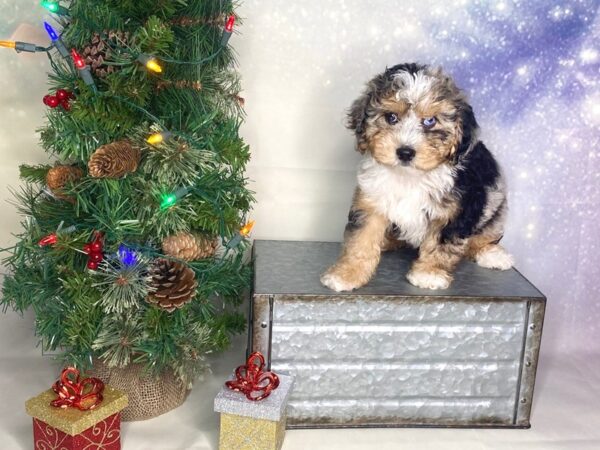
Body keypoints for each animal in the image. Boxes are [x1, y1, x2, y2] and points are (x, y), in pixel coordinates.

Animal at [322, 63, 512, 292]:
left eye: (430, 121)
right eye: (391, 117)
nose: (405, 152)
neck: (411, 176)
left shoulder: (456, 211)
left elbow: (440, 244)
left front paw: (428, 274)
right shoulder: (372, 200)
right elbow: (360, 239)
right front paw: (346, 274)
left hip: (496, 204)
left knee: (485, 235)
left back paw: (492, 254)